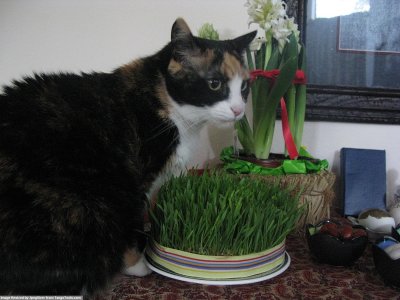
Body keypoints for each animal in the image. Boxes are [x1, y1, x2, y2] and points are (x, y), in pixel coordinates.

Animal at [0, 19, 256, 298]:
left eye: (244, 87)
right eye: (214, 83)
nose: (238, 110)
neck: (164, 101)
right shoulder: (135, 183)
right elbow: (132, 225)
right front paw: (138, 264)